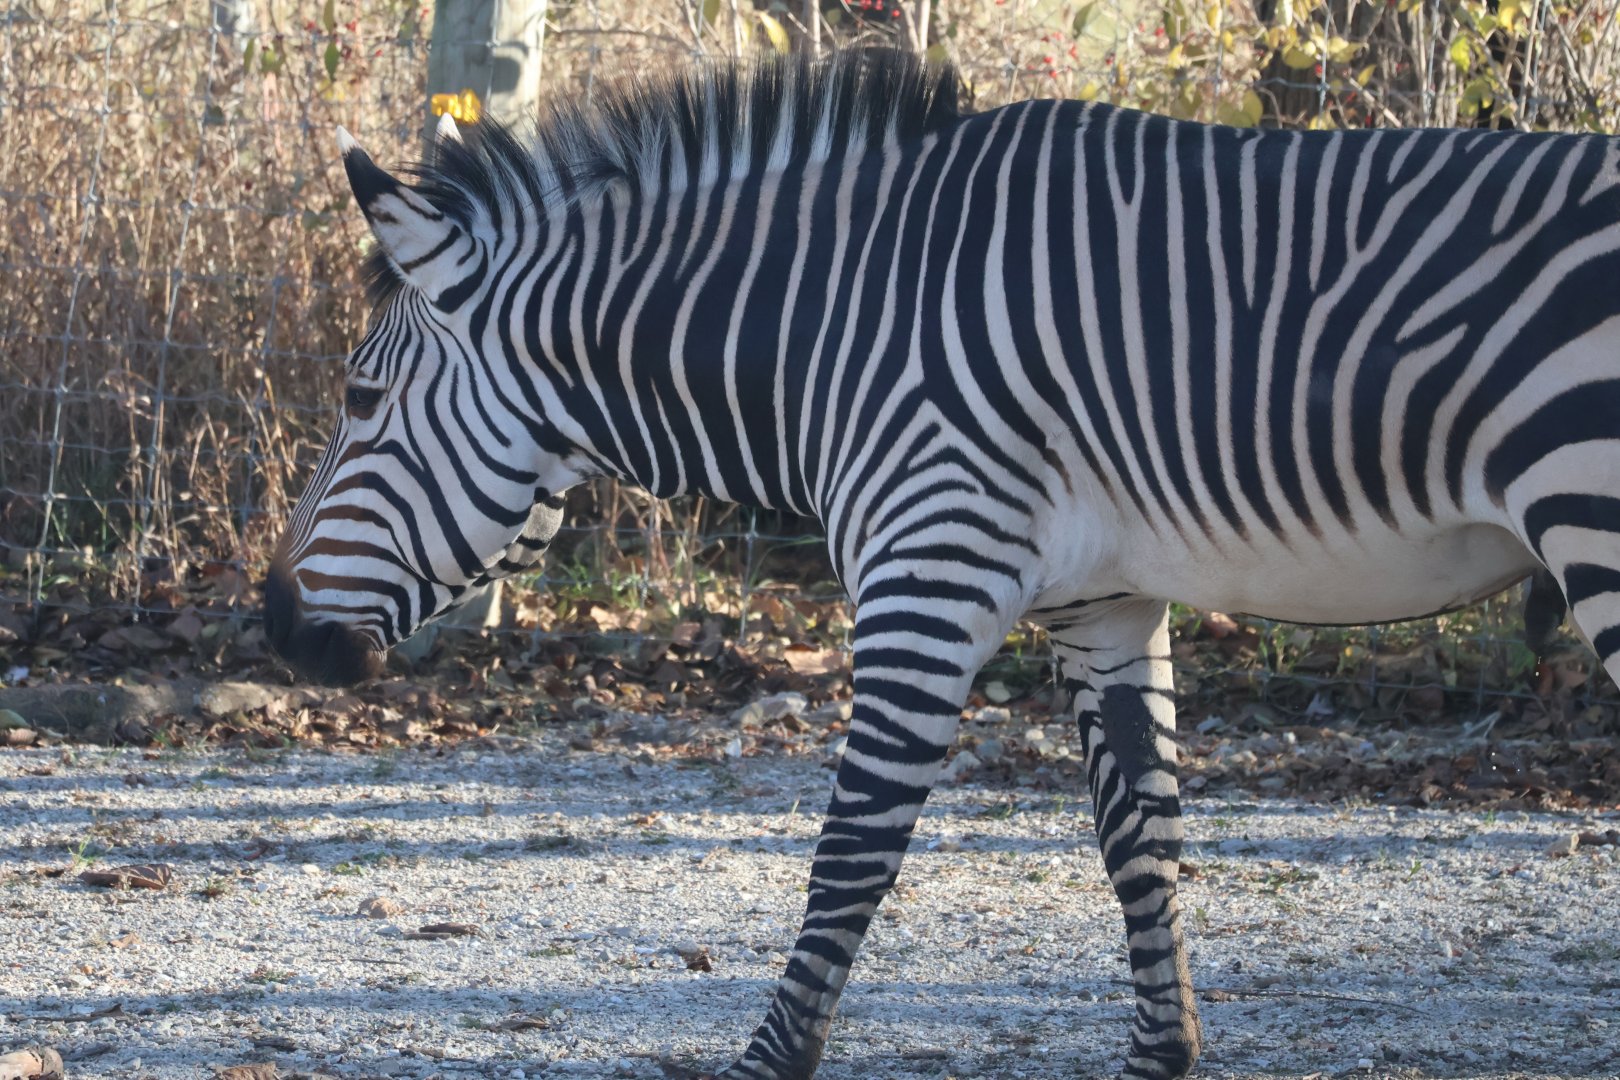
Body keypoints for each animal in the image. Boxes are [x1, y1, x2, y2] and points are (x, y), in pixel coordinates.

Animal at [263, 51, 1620, 1079]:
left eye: (361, 399)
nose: (274, 629)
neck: (827, 321)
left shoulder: (931, 565)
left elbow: (851, 855)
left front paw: (770, 1062)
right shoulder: (1102, 599)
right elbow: (1142, 839)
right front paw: (1162, 1057)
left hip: (1593, 514)